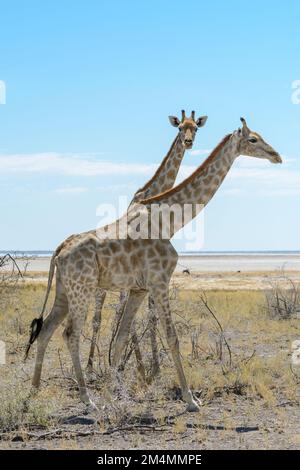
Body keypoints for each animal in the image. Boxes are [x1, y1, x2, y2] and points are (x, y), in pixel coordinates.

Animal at [25, 116, 282, 412]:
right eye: (253, 139)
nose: (277, 156)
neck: (170, 222)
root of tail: (58, 252)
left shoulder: (139, 288)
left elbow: (121, 337)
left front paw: (114, 394)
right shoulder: (159, 281)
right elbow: (172, 337)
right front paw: (190, 399)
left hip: (64, 291)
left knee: (46, 330)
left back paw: (34, 392)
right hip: (83, 290)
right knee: (70, 334)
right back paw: (86, 399)